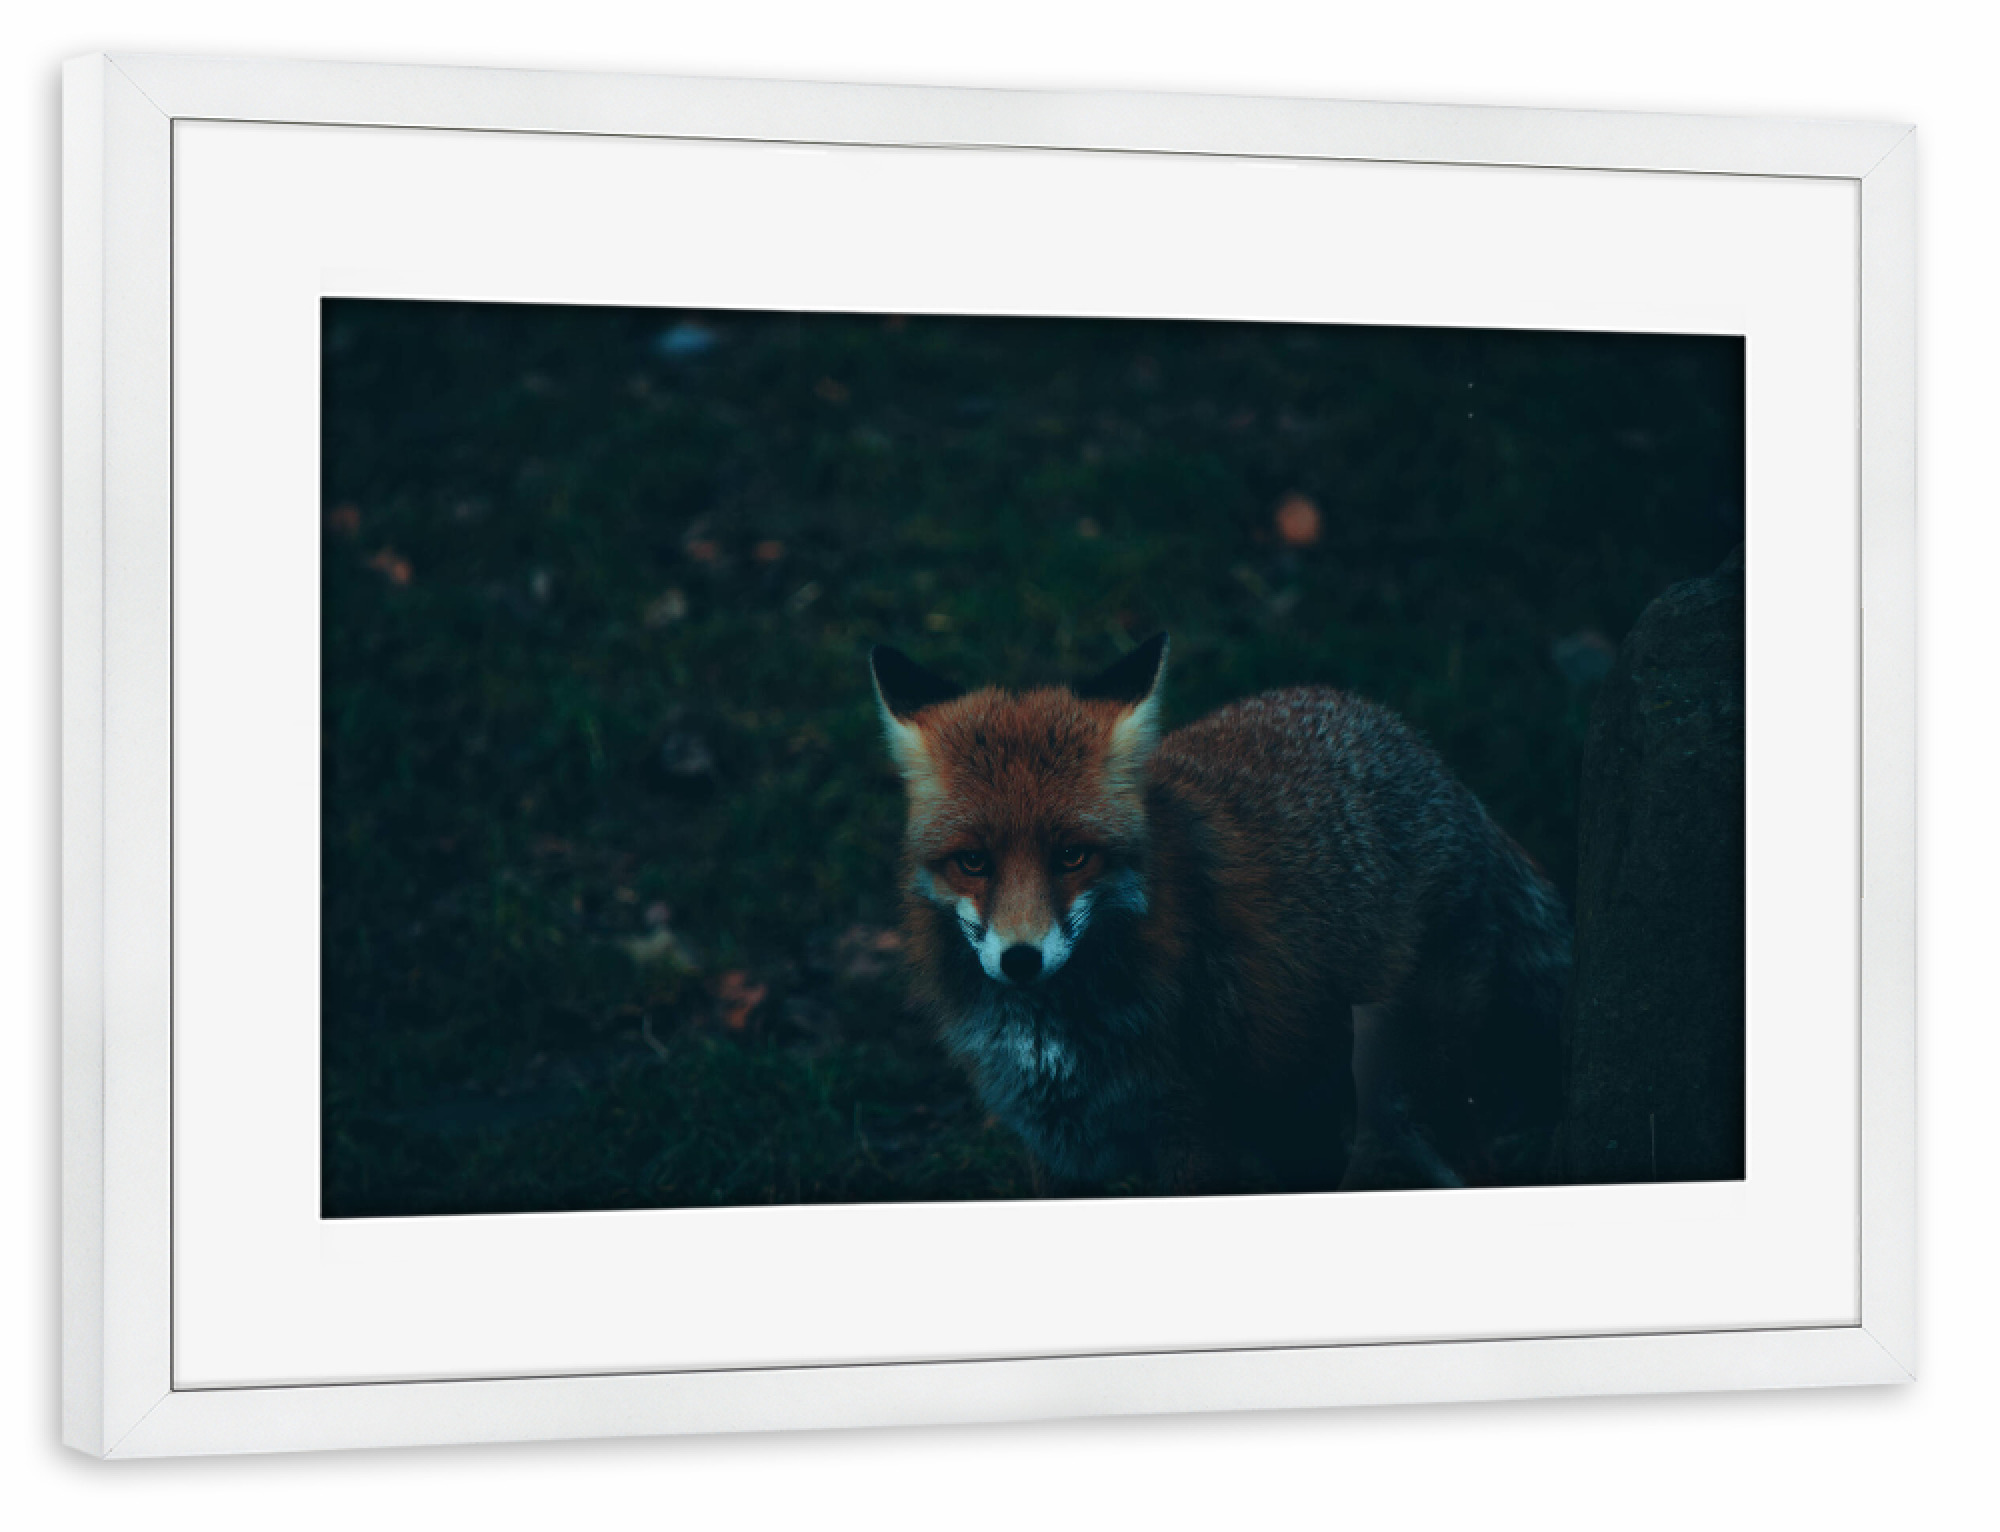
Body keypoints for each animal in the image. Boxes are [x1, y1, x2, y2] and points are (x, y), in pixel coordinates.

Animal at [869, 633, 1571, 1196]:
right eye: (973, 861)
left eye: (1072, 855)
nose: (1021, 960)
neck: (1056, 1038)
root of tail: (1432, 760)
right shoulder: (1056, 1149)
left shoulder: (1193, 1131)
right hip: (1299, 1116)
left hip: (1411, 1098)